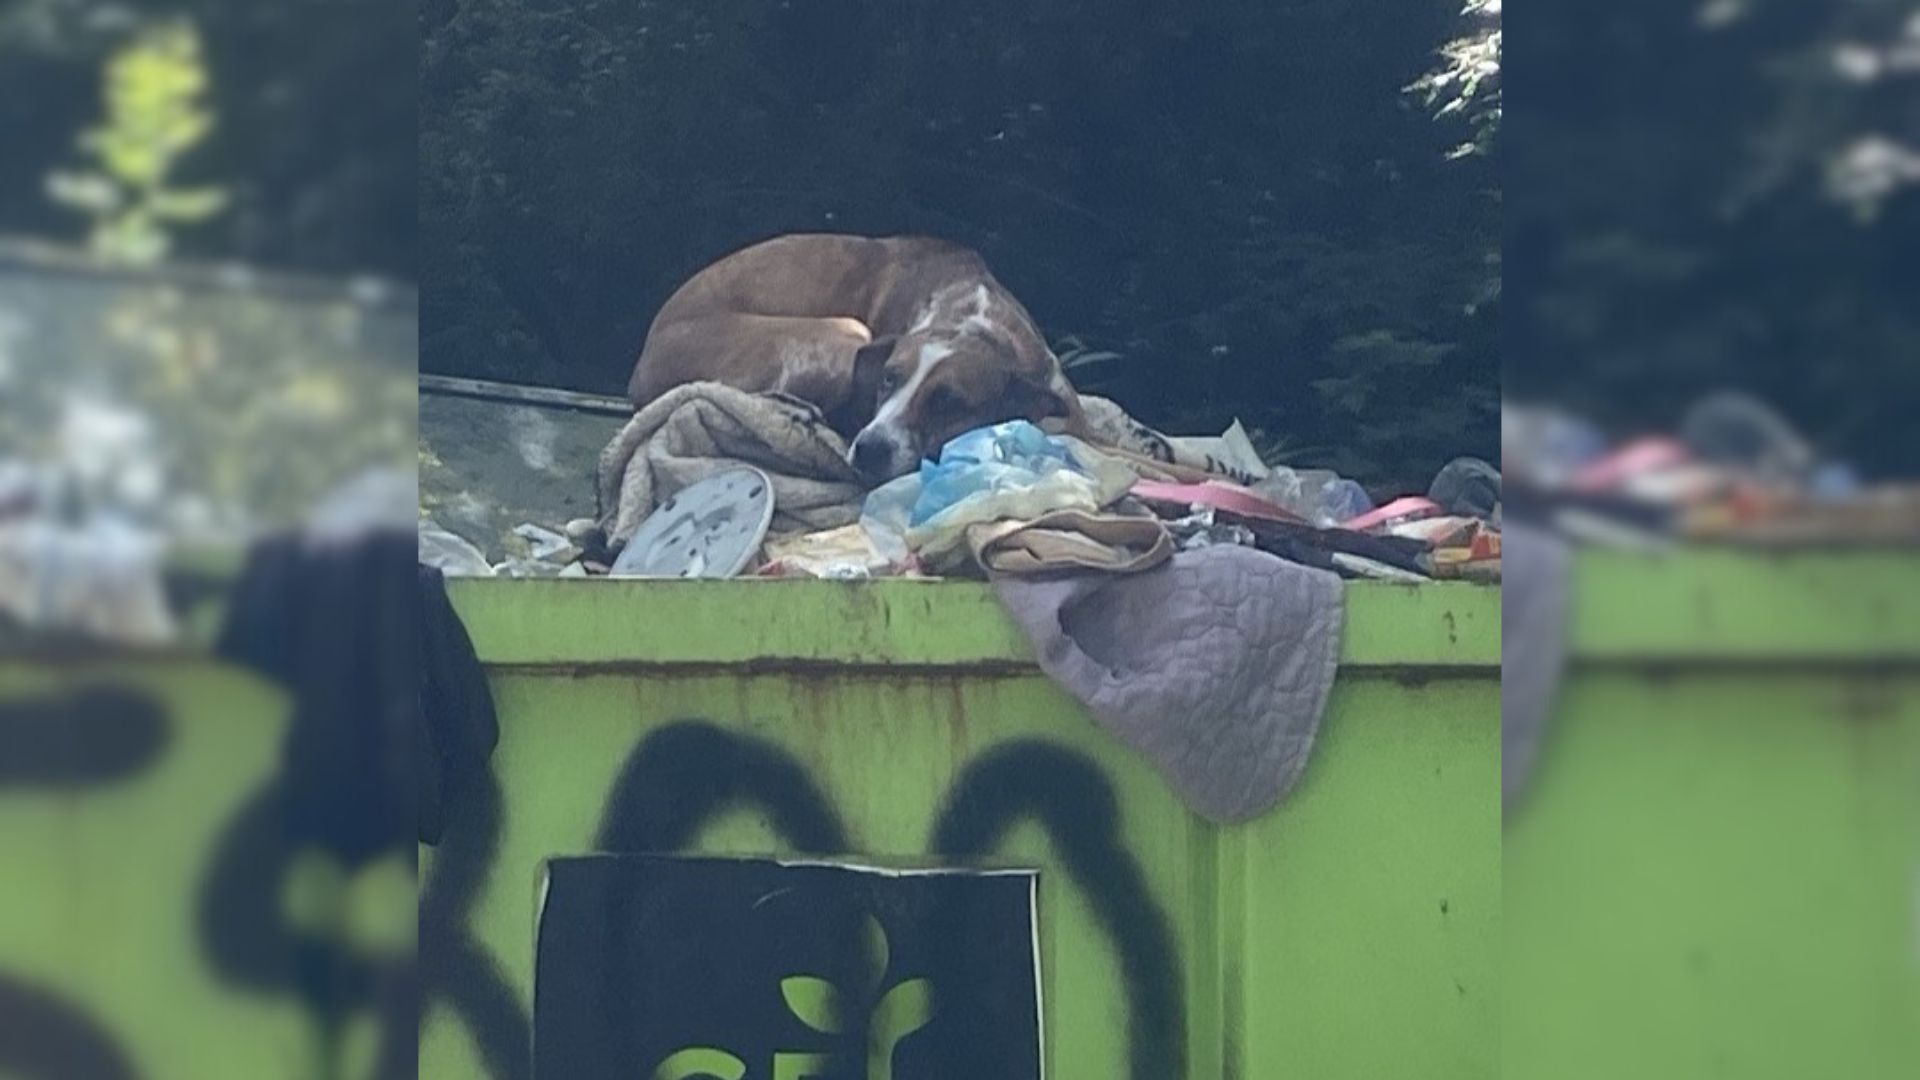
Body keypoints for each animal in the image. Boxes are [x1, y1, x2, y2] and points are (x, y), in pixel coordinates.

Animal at [625, 234, 1090, 478]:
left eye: (948, 402)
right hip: (842, 331)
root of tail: (642, 363)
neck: (977, 321)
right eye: (888, 378)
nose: (868, 450)